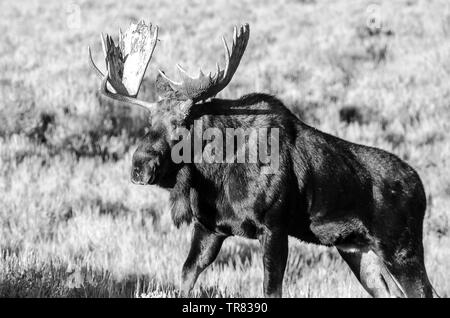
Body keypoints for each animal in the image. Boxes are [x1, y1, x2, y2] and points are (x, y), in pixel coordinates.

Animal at [88, 21, 436, 296]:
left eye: (183, 124)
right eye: (150, 122)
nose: (139, 167)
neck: (217, 176)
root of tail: (422, 189)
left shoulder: (274, 228)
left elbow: (271, 289)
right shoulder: (209, 228)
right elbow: (185, 276)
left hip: (401, 248)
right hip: (357, 249)